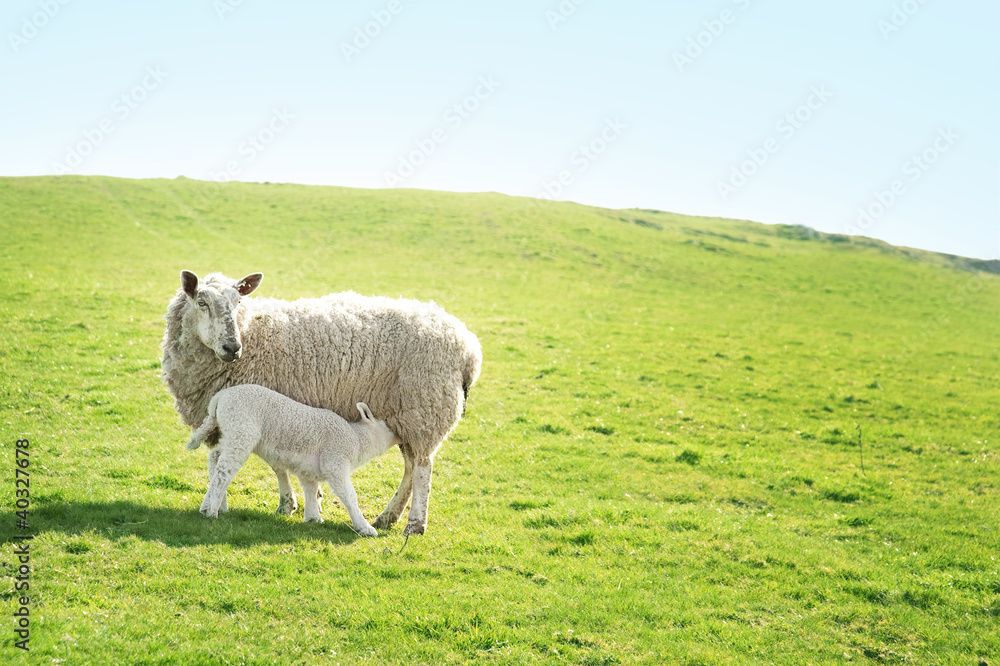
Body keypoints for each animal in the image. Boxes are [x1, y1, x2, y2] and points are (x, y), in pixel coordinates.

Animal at [187, 384, 401, 536]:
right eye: (387, 425)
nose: (400, 435)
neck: (357, 441)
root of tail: (220, 397)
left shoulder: (309, 468)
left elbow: (311, 489)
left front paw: (313, 518)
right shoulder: (336, 462)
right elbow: (349, 496)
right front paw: (364, 527)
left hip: (230, 430)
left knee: (215, 457)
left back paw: (207, 506)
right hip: (241, 429)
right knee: (224, 470)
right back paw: (213, 511)